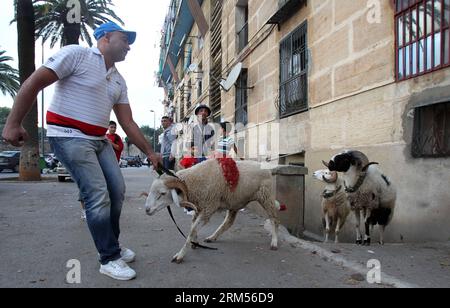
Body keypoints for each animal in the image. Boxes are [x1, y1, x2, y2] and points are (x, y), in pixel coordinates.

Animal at [144, 160, 280, 264]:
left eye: (162, 193)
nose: (147, 210)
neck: (194, 182)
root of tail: (268, 169)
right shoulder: (200, 208)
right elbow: (193, 226)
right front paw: (195, 242)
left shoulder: (208, 208)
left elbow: (192, 229)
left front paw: (180, 255)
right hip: (236, 202)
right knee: (228, 222)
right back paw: (212, 237)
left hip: (266, 197)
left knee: (274, 218)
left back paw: (274, 242)